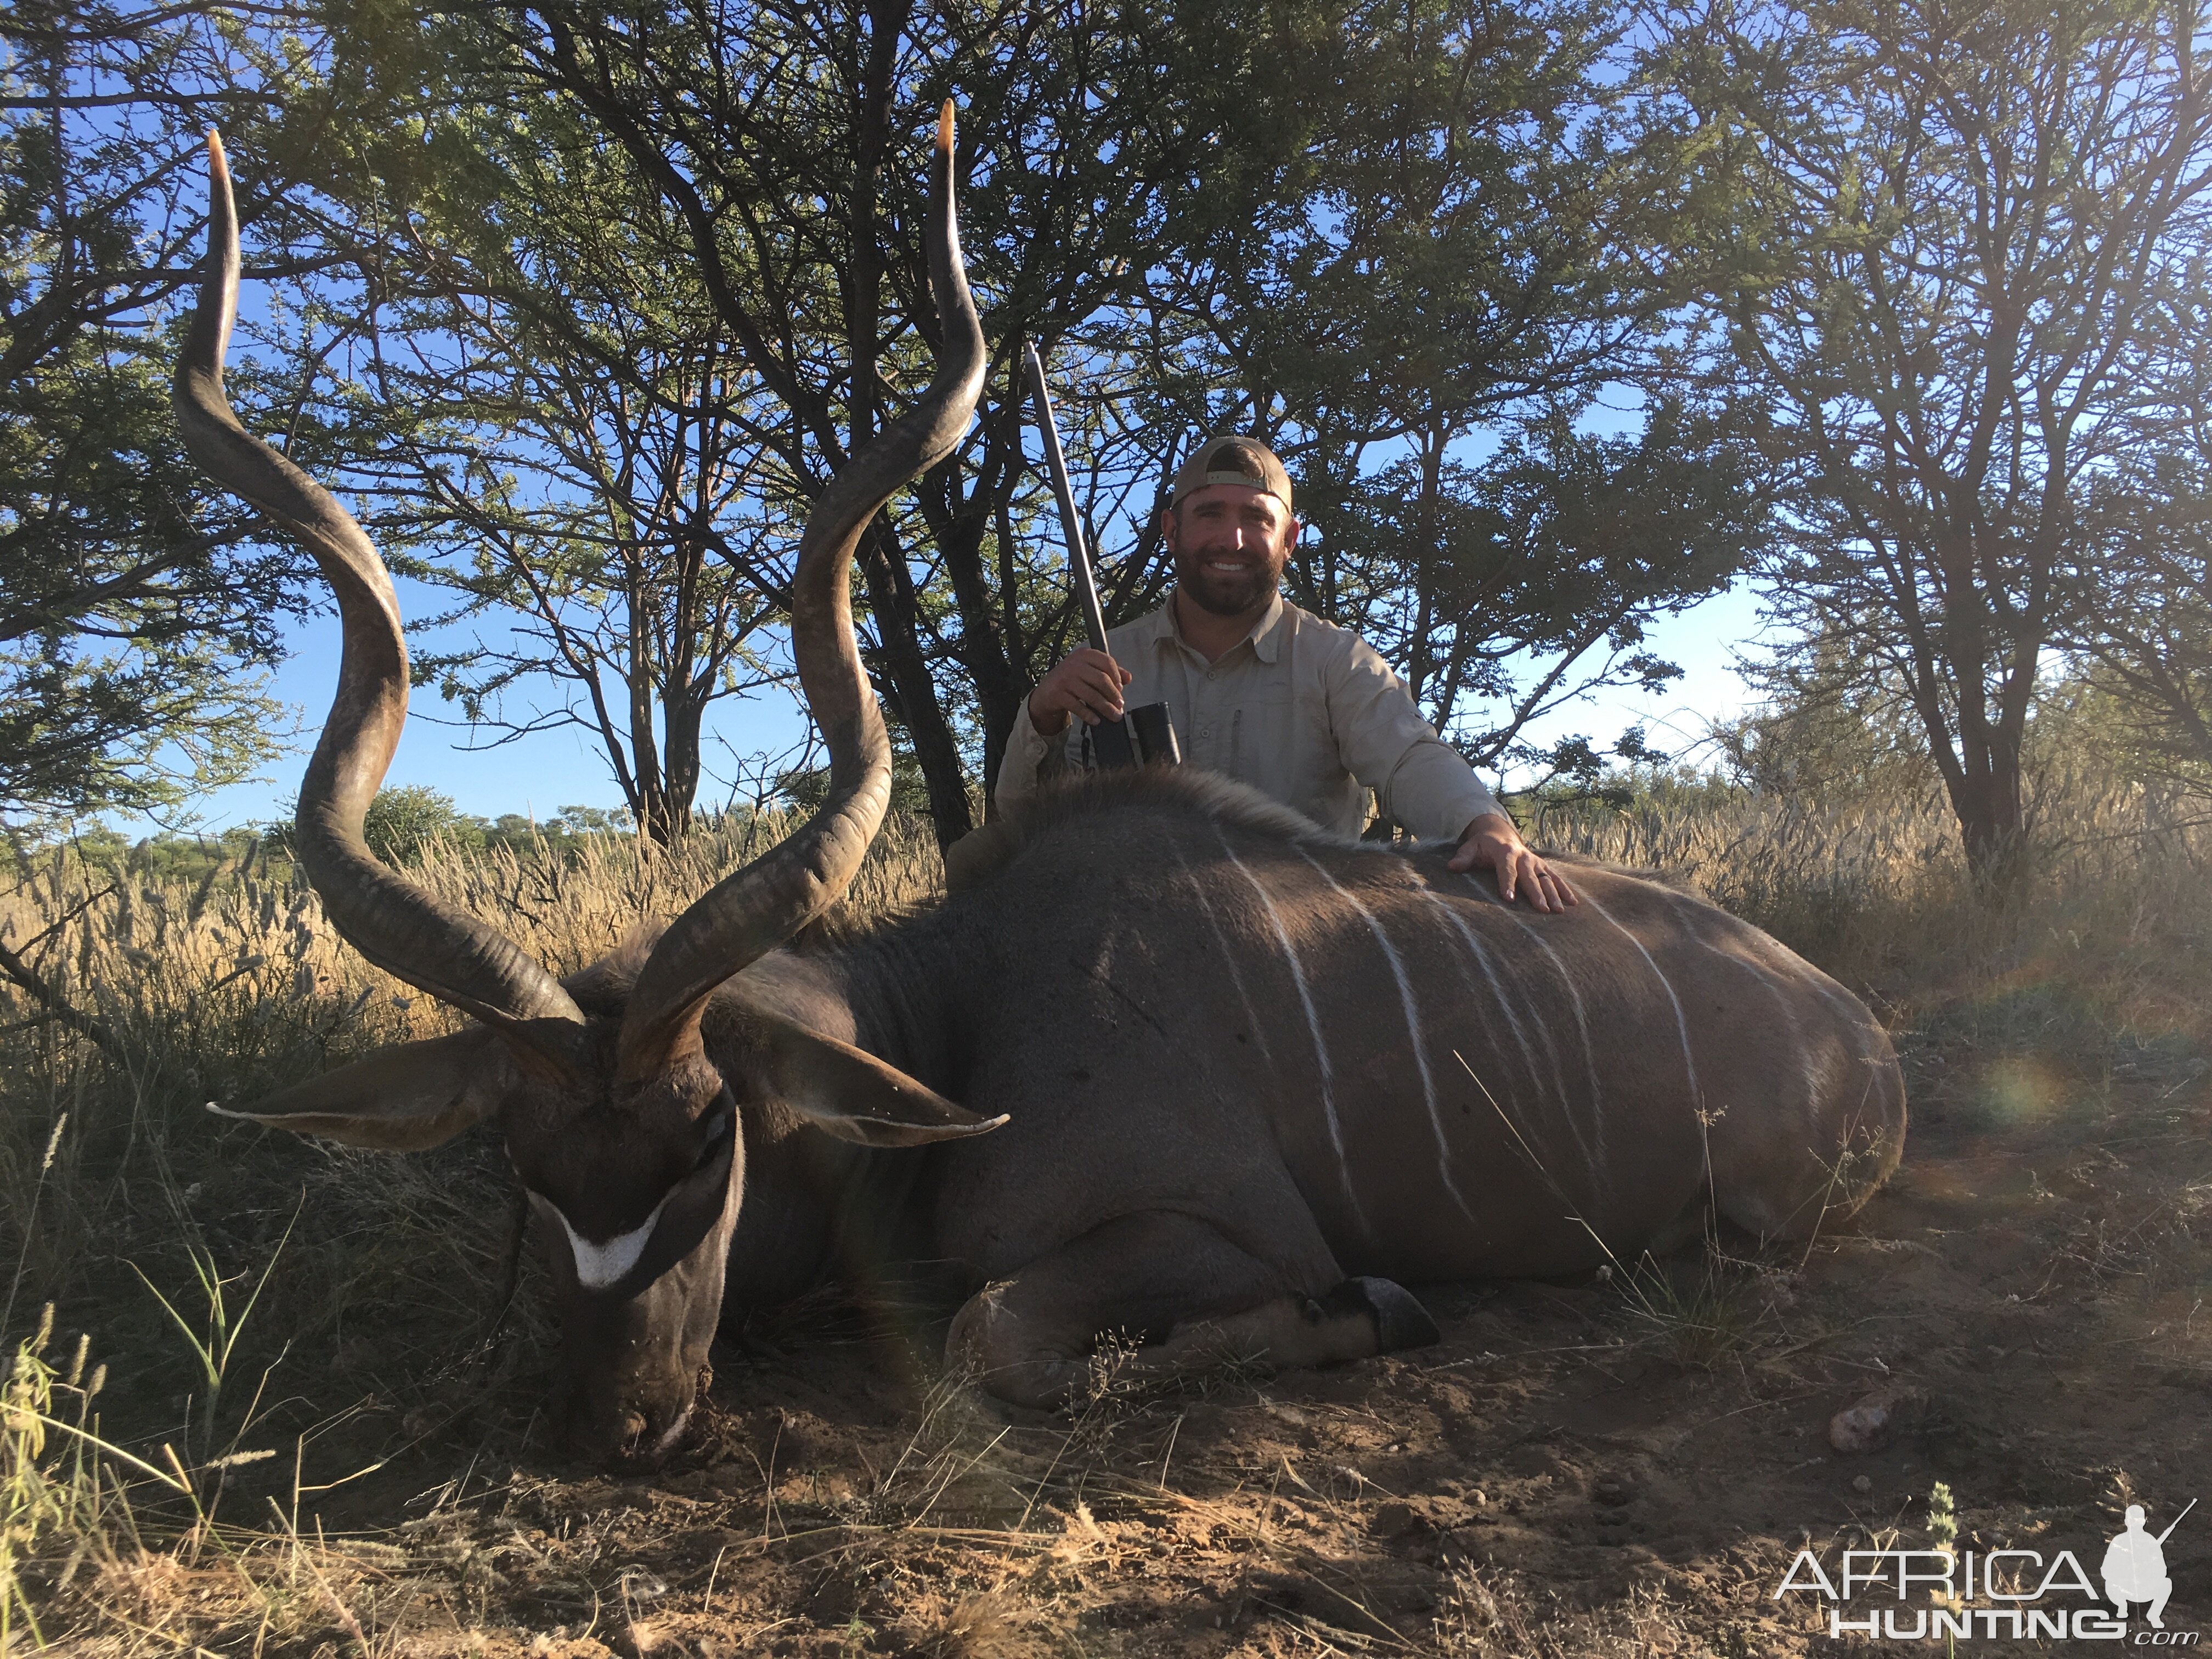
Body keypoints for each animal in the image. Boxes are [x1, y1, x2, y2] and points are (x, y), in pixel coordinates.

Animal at [177, 110, 1902, 1460]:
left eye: (709, 1139)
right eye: (522, 1168)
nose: (618, 1426)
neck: (965, 1008)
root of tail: (1858, 1029)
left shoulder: (1227, 1229)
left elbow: (994, 1335)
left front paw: (1384, 1307)